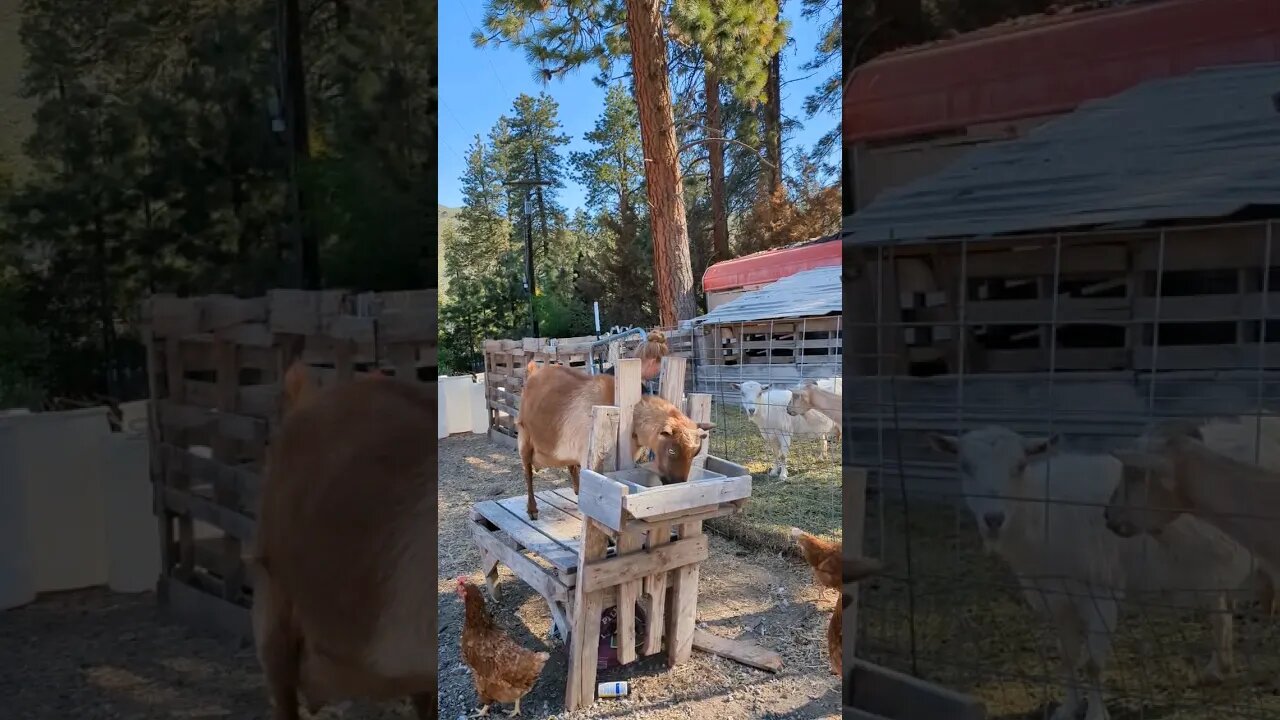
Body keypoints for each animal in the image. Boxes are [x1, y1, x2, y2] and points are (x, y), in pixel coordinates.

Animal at [517, 363, 712, 519]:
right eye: (672, 450)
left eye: (695, 453)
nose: (677, 483)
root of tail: (534, 371)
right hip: (524, 438)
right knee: (527, 472)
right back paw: (532, 509)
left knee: (571, 467)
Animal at [932, 427, 1253, 720]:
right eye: (965, 466)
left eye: (1020, 465)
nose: (993, 519)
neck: (1043, 510)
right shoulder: (1056, 597)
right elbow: (1067, 657)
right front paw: (1067, 709)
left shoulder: (1102, 591)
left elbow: (1093, 663)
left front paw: (1096, 714)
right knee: (1221, 610)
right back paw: (1217, 669)